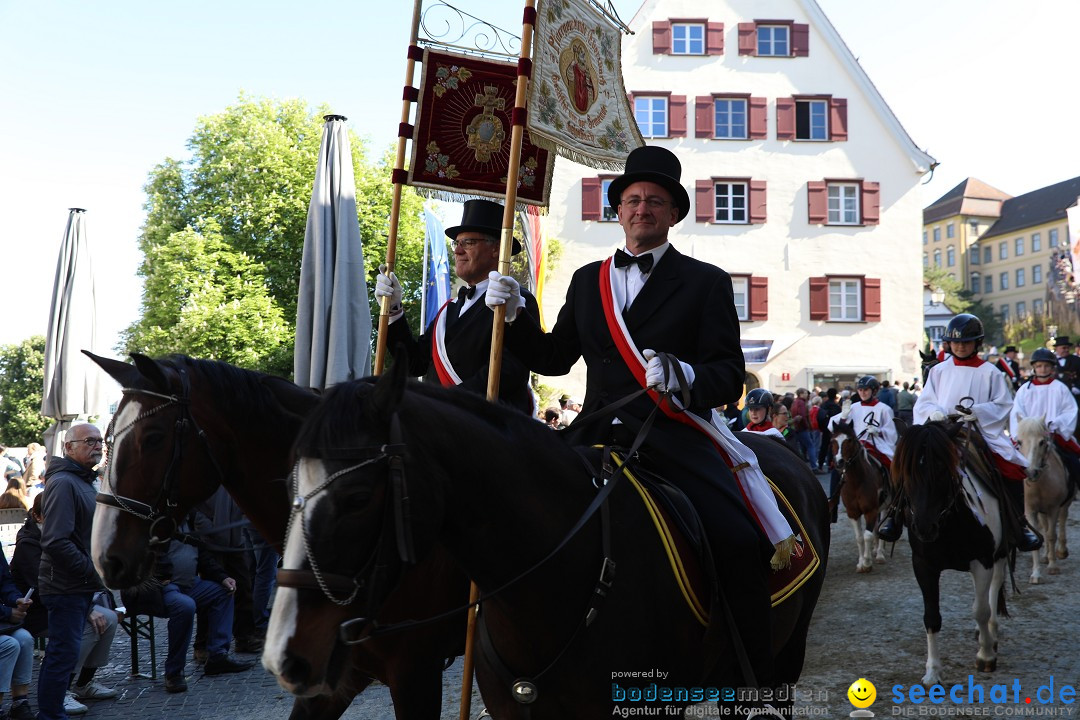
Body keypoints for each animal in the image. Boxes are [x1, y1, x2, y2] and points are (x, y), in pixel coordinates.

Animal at [829, 418, 881, 569]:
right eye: (832, 440)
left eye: (850, 440)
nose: (839, 462)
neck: (856, 482)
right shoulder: (852, 512)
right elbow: (859, 538)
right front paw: (861, 562)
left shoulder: (871, 510)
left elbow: (867, 535)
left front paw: (867, 562)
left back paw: (880, 554)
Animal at [889, 423, 1006, 686]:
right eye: (907, 471)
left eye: (942, 470)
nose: (924, 527)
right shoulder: (923, 565)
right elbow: (932, 616)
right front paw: (933, 671)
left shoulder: (983, 560)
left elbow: (981, 609)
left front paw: (985, 655)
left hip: (1001, 550)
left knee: (995, 585)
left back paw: (991, 633)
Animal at [1010, 416, 1071, 587]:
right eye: (1019, 441)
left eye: (1042, 442)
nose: (1031, 472)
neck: (1040, 484)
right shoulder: (1030, 510)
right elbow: (1039, 535)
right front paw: (1036, 573)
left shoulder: (1054, 508)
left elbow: (1051, 535)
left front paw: (1053, 566)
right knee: (1044, 526)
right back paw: (1045, 556)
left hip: (1063, 505)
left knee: (1062, 520)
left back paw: (1061, 551)